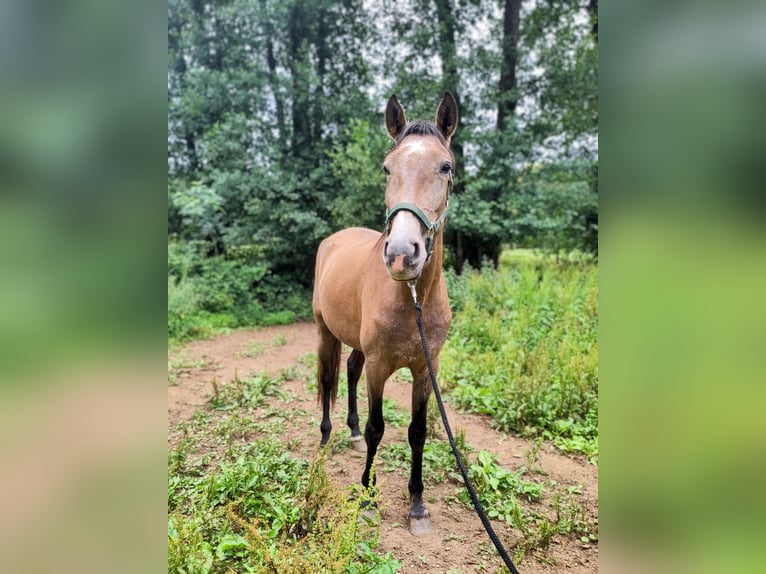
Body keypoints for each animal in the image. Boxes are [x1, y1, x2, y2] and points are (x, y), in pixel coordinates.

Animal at [314, 92, 460, 536]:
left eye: (445, 167)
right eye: (387, 167)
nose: (400, 254)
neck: (412, 298)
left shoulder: (425, 369)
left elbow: (418, 431)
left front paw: (418, 505)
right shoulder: (380, 366)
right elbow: (380, 427)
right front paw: (367, 498)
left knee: (349, 370)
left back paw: (351, 432)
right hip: (324, 331)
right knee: (328, 379)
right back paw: (325, 439)